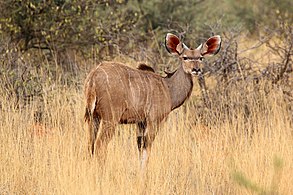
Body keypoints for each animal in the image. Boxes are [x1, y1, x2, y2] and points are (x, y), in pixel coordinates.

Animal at [83, 32, 220, 167]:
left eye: (201, 58)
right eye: (185, 57)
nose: (196, 70)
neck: (168, 88)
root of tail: (93, 77)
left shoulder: (140, 122)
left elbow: (139, 146)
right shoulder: (154, 119)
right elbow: (147, 147)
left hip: (94, 117)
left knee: (90, 144)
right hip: (110, 118)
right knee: (100, 144)